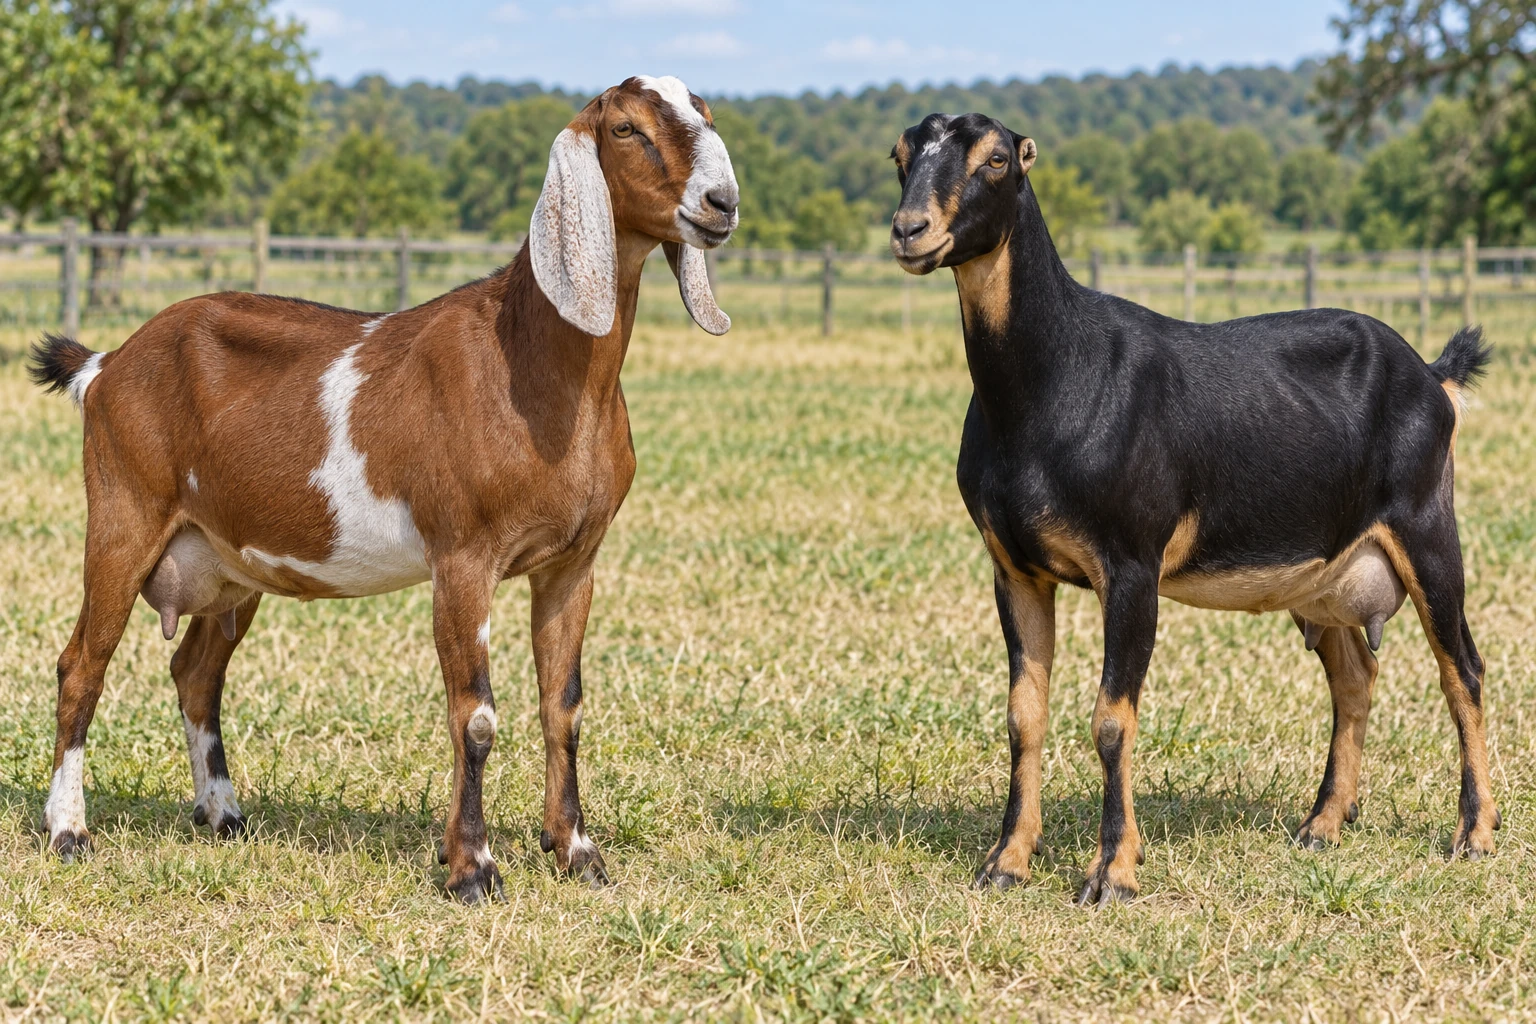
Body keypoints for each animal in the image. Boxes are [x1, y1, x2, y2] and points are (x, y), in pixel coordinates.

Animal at [28, 75, 738, 903]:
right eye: (626, 129)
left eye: (705, 117)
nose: (721, 202)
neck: (525, 359)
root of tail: (107, 364)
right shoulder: (463, 555)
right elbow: (476, 716)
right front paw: (473, 869)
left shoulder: (573, 562)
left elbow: (563, 708)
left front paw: (577, 852)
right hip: (124, 513)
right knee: (82, 664)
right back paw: (69, 831)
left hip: (229, 559)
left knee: (196, 671)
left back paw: (224, 813)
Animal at [889, 113, 1497, 905]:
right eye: (900, 157)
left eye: (996, 159)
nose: (910, 230)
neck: (1054, 382)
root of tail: (1431, 374)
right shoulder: (1014, 568)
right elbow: (1023, 714)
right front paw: (1007, 862)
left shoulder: (1131, 565)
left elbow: (1111, 720)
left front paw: (1113, 872)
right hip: (1325, 571)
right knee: (1355, 676)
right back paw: (1322, 824)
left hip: (1426, 526)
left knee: (1464, 671)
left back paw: (1474, 835)